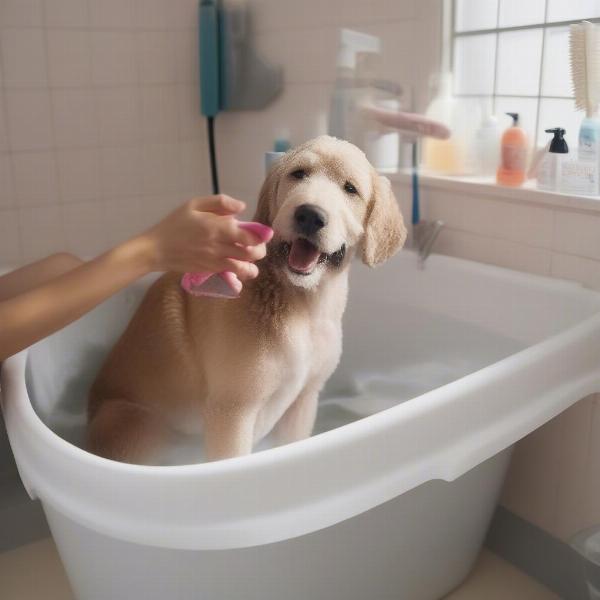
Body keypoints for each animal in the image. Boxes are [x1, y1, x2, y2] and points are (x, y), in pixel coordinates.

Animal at [88, 136, 408, 464]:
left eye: (350, 189)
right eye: (298, 174)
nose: (309, 215)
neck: (301, 304)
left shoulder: (304, 402)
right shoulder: (232, 411)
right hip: (138, 428)